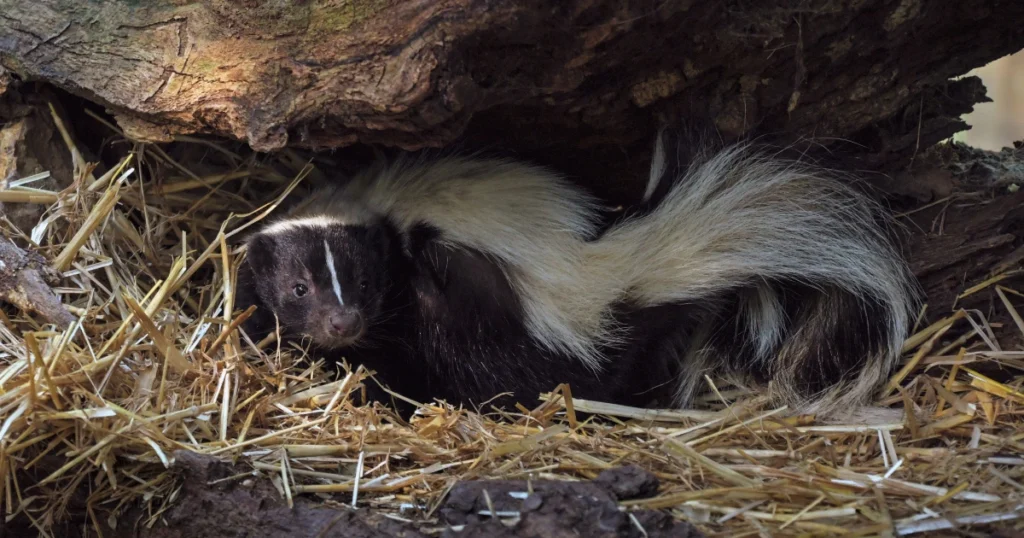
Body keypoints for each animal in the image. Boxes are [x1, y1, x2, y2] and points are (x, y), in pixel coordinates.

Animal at [237, 130, 921, 416]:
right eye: (298, 288)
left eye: (365, 284)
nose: (342, 323)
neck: (372, 206)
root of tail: (611, 268)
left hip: (488, 318)